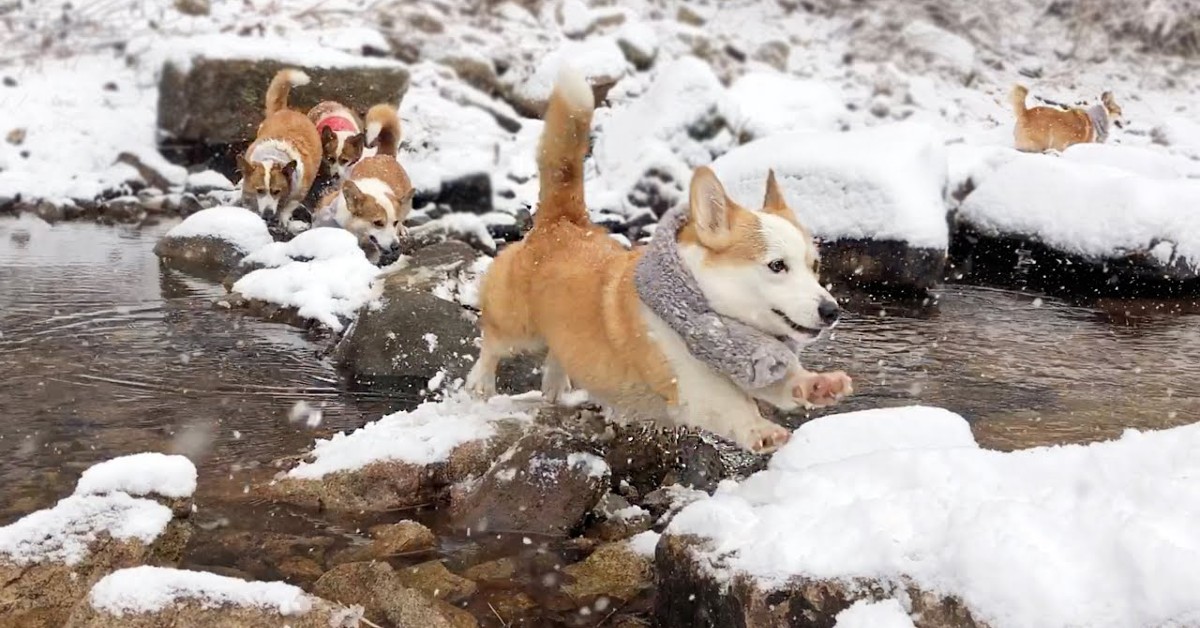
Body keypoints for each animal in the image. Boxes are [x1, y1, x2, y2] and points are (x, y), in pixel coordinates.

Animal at [237, 68, 324, 223]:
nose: (268, 214)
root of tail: (287, 110)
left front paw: (283, 220)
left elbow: (287, 208)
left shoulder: (298, 194)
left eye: (276, 191)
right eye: (259, 190)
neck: (273, 158)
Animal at [465, 67, 854, 451]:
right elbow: (729, 404)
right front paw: (760, 429)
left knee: (556, 351)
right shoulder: (689, 384)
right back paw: (480, 383)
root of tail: (562, 222)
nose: (832, 311)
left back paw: (556, 384)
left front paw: (817, 385)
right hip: (518, 327)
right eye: (777, 265)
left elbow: (785, 383)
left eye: (815, 266)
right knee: (493, 340)